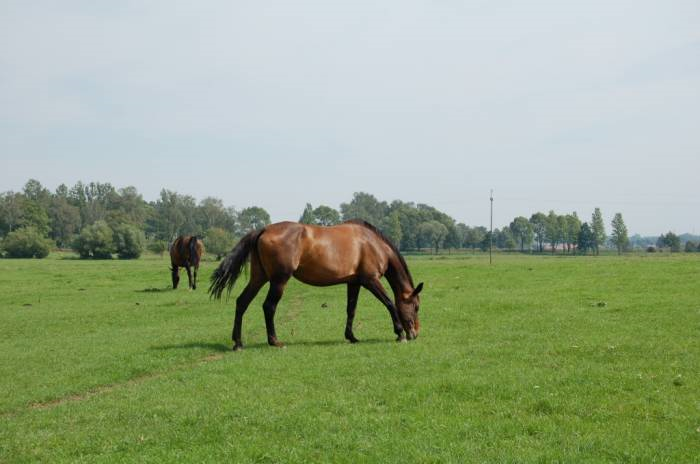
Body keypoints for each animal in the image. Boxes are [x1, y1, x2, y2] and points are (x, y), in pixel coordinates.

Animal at [209, 219, 422, 350]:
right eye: (416, 306)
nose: (415, 334)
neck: (372, 244)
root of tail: (263, 229)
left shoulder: (354, 283)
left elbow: (351, 310)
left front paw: (351, 336)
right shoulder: (371, 280)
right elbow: (389, 303)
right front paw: (400, 333)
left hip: (259, 278)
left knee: (242, 302)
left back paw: (238, 343)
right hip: (279, 280)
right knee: (268, 307)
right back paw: (275, 341)